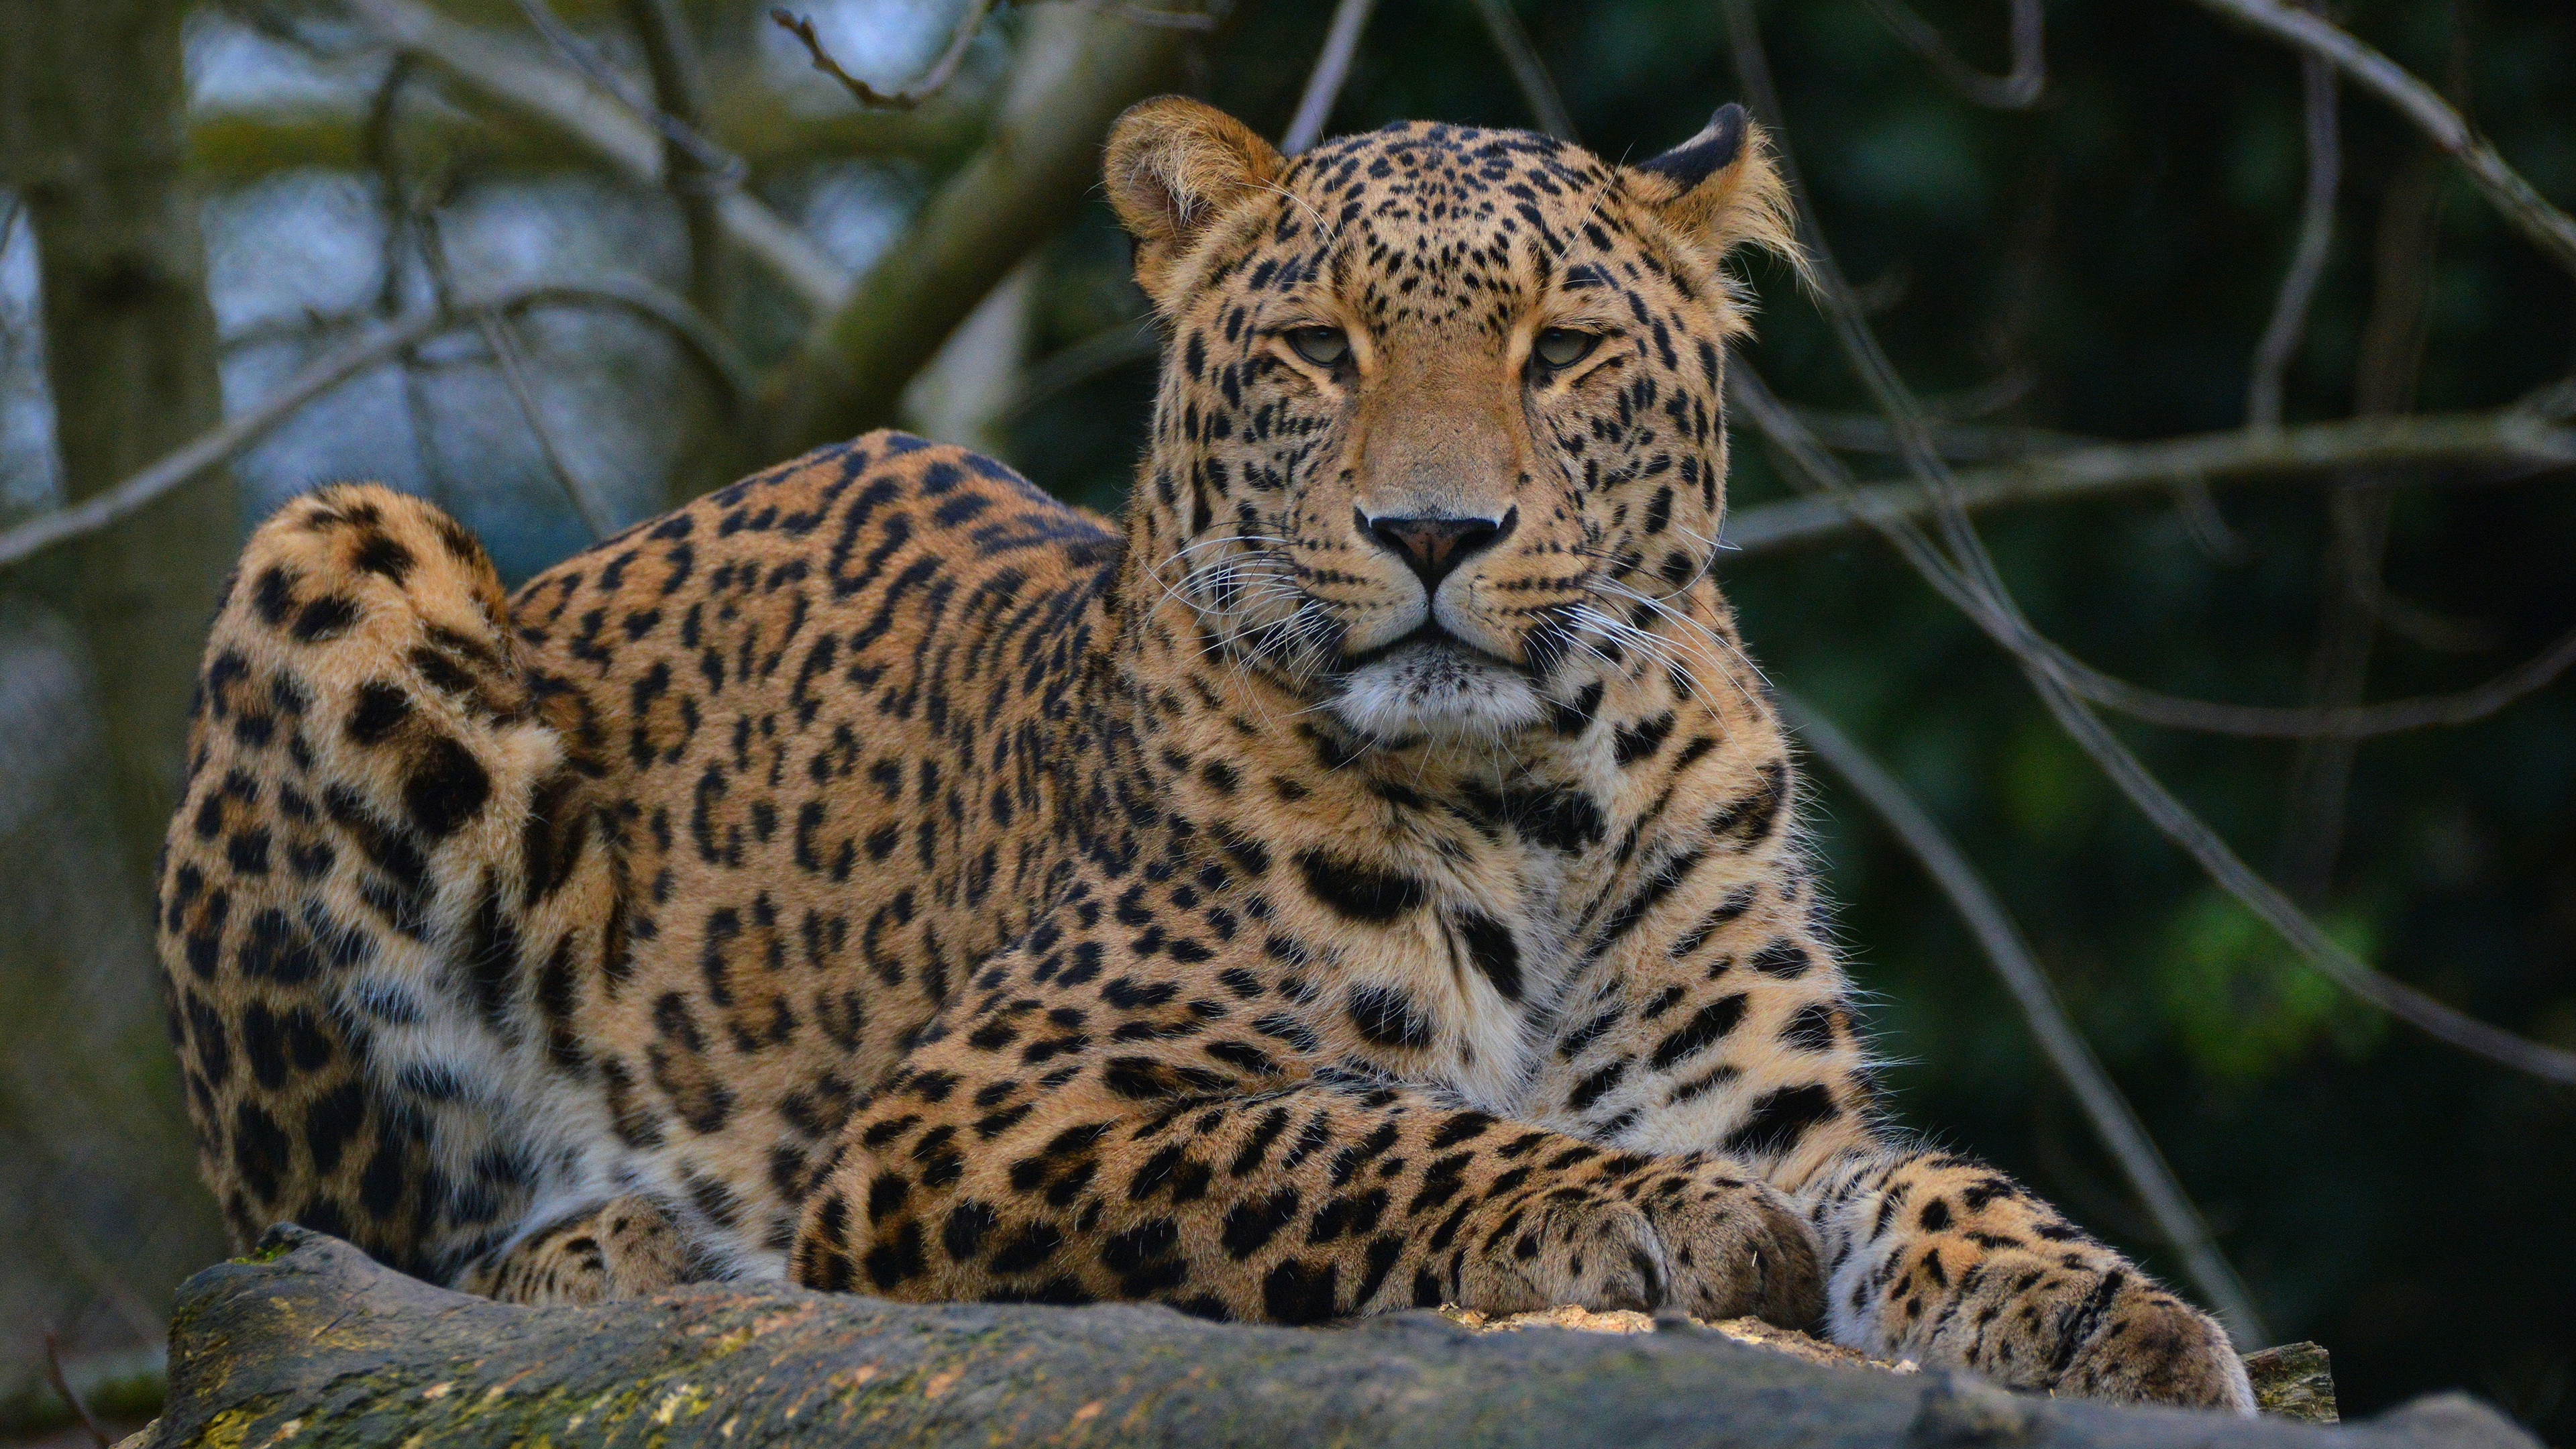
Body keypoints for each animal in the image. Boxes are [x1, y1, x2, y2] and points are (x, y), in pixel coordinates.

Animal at [161, 96, 2256, 1402]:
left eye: (1564, 349)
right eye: (1320, 348)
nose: (1435, 535)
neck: (1543, 802)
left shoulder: (1769, 1109)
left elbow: (1938, 1189)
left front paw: (2116, 1314)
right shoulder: (993, 1109)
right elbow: (1365, 1132)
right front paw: (1642, 1218)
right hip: (342, 550)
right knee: (330, 1252)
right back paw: (621, 1253)